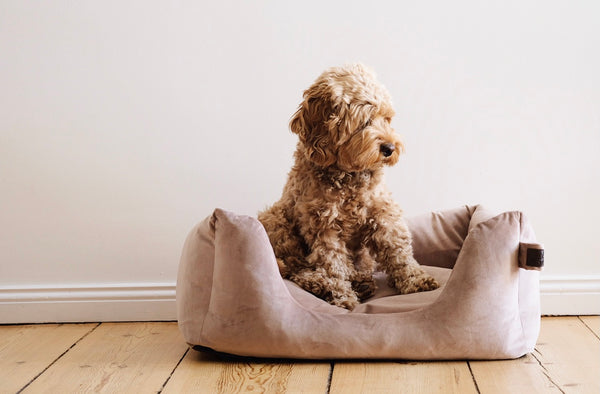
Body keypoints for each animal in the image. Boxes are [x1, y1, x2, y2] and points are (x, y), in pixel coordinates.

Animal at [256, 63, 436, 310]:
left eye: (387, 119)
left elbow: (398, 250)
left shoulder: (383, 214)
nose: (390, 148)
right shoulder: (324, 226)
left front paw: (416, 279)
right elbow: (333, 264)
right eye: (365, 121)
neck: (349, 176)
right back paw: (325, 284)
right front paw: (342, 296)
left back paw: (361, 281)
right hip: (276, 219)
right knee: (298, 268)